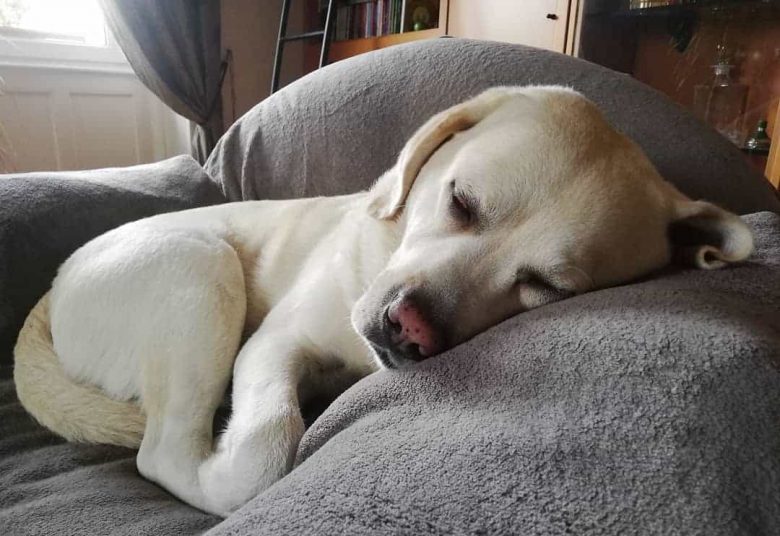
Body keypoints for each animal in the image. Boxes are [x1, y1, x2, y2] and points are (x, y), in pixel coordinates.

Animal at [13, 87, 756, 516]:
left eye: (548, 289)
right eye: (461, 201)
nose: (409, 329)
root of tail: (48, 295)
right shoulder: (274, 344)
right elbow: (263, 448)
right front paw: (238, 458)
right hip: (199, 267)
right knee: (160, 453)